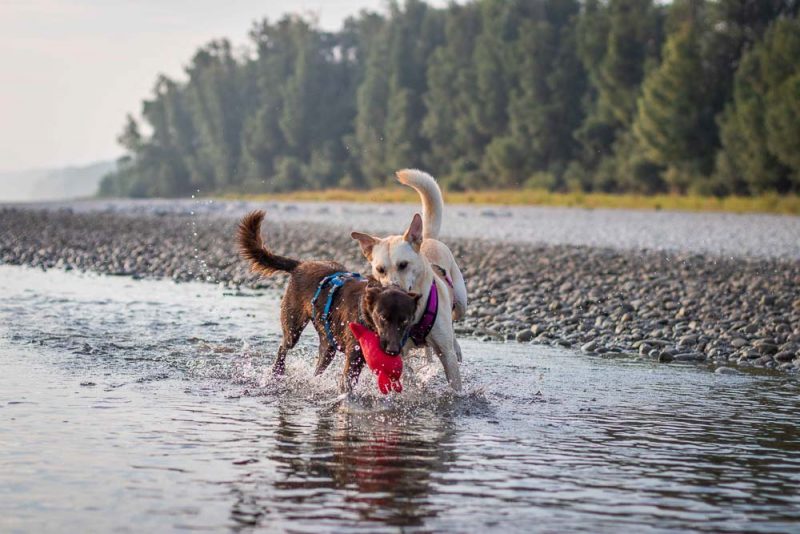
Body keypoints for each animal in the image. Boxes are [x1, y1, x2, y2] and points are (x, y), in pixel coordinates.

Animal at [234, 213, 418, 394]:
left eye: (405, 320)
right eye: (382, 317)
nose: (392, 351)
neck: (366, 313)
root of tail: (301, 264)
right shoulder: (353, 360)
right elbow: (347, 387)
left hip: (328, 345)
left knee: (318, 366)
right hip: (293, 327)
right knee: (283, 347)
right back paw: (277, 372)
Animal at [352, 170, 468, 392]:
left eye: (403, 265)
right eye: (380, 269)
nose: (393, 290)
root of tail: (427, 238)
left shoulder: (445, 353)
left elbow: (455, 381)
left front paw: (458, 397)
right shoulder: (395, 346)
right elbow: (404, 371)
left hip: (461, 303)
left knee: (453, 323)